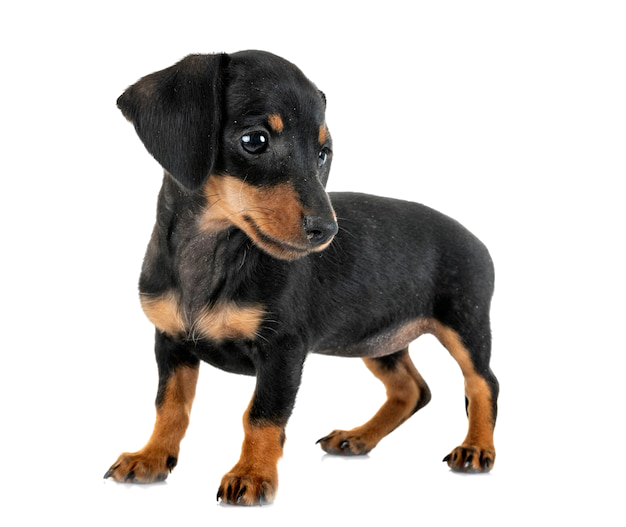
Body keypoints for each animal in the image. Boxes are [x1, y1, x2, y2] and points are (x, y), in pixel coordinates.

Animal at [104, 50, 499, 505]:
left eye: (323, 153)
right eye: (254, 140)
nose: (327, 231)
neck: (214, 252)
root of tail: (479, 242)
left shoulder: (283, 350)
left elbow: (262, 415)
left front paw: (252, 475)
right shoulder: (170, 342)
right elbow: (170, 407)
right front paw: (151, 457)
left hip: (465, 325)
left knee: (483, 384)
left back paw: (477, 448)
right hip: (375, 339)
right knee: (412, 390)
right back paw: (358, 438)